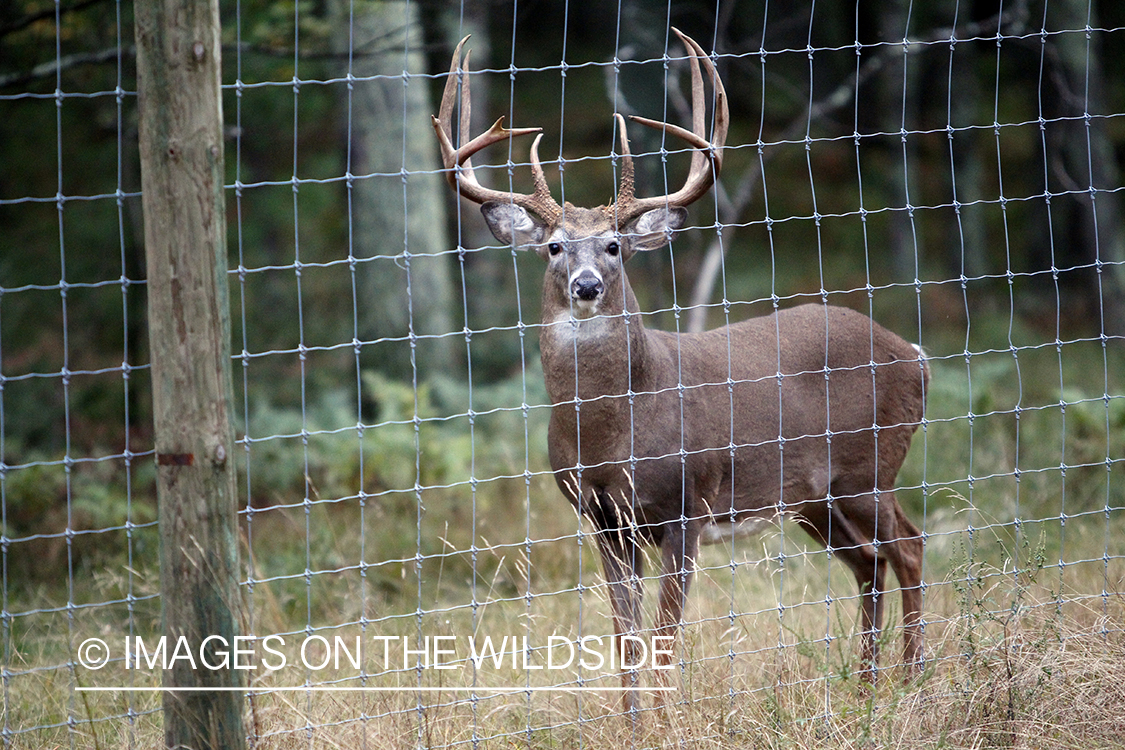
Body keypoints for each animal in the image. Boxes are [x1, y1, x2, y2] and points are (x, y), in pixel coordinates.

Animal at [434, 30, 927, 710]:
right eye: (555, 246)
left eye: (614, 246)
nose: (586, 285)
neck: (613, 432)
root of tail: (916, 356)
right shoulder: (603, 522)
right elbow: (626, 642)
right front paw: (632, 720)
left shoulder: (687, 507)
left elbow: (665, 640)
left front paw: (666, 720)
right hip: (814, 496)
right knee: (869, 562)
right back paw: (868, 688)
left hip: (869, 465)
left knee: (909, 547)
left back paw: (914, 680)